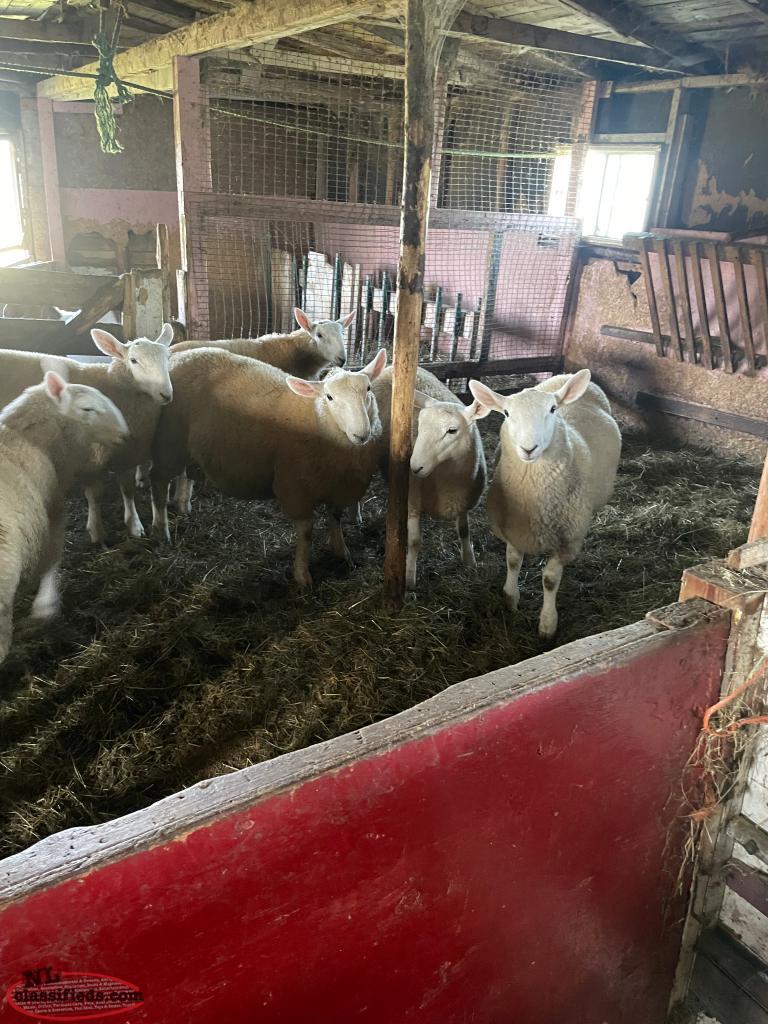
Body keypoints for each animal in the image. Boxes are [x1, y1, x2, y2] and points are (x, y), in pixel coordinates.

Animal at [0, 324, 174, 544]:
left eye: (167, 357)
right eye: (134, 360)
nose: (166, 394)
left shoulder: (126, 453)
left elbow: (127, 489)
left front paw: (134, 524)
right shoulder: (91, 457)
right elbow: (95, 494)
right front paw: (97, 530)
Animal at [150, 347, 387, 586]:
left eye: (368, 389)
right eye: (329, 397)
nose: (361, 433)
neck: (316, 416)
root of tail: (183, 355)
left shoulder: (340, 488)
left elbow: (335, 519)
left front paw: (342, 551)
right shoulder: (295, 488)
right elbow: (306, 532)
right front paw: (302, 575)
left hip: (185, 446)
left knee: (184, 475)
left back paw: (183, 506)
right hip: (168, 441)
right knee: (158, 483)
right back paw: (161, 530)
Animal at [372, 366, 488, 588]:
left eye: (452, 430)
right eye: (419, 425)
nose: (414, 466)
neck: (448, 480)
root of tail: (390, 367)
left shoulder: (463, 501)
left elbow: (464, 530)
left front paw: (470, 561)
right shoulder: (412, 503)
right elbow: (414, 542)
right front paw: (409, 578)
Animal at [469, 370, 621, 639]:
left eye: (552, 409)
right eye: (506, 413)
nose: (528, 448)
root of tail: (566, 375)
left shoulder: (568, 540)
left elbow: (550, 579)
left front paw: (547, 625)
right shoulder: (513, 529)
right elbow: (513, 561)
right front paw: (510, 599)